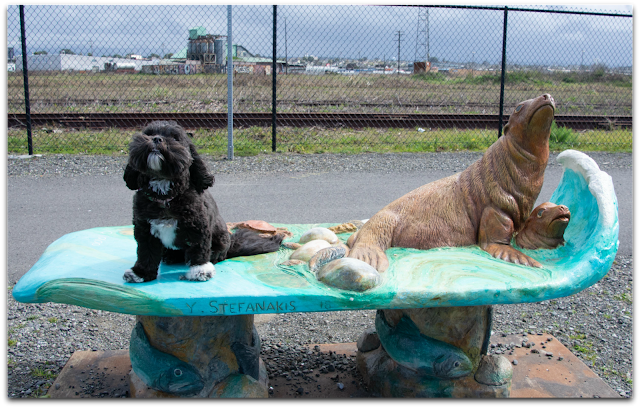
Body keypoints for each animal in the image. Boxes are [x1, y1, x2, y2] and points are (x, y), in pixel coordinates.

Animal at [122, 121, 283, 283]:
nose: (156, 139)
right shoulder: (144, 229)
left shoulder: (198, 226)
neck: (165, 196)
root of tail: (231, 245)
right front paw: (141, 273)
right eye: (148, 133)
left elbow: (199, 248)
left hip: (220, 238)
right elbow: (145, 253)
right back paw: (171, 257)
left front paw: (200, 270)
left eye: (175, 138)